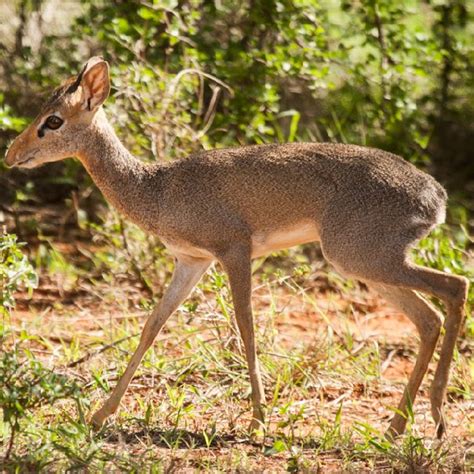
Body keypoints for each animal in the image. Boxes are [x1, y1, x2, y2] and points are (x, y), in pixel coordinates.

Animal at [5, 57, 468, 438]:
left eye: (53, 120)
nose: (11, 153)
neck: (157, 188)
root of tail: (437, 197)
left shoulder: (234, 251)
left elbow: (246, 325)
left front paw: (258, 420)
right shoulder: (191, 261)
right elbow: (153, 325)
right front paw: (101, 414)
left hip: (364, 259)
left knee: (455, 286)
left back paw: (436, 416)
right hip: (367, 266)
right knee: (428, 319)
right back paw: (396, 426)